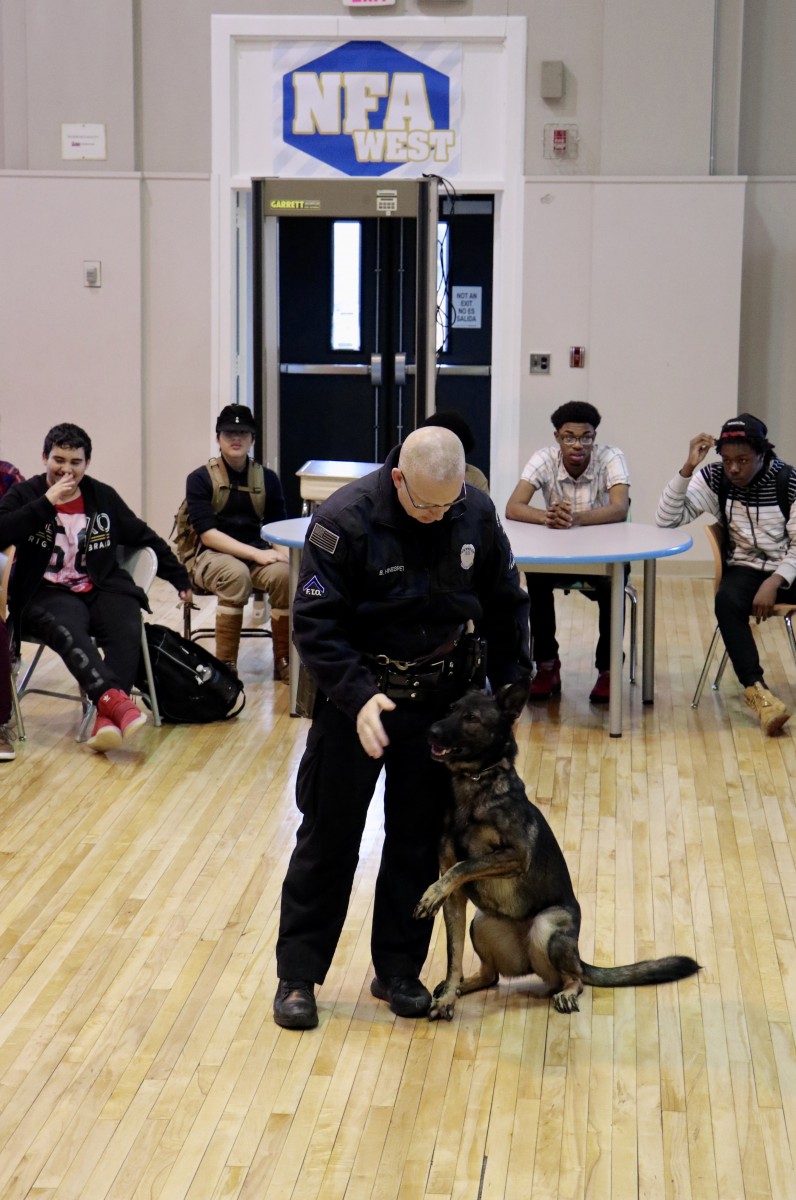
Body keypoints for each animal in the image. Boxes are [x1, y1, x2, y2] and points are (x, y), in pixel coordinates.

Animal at [413, 681, 701, 1017]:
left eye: (471, 717)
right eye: (451, 709)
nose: (430, 731)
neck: (476, 781)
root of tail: (578, 957)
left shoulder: (515, 856)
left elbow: (465, 866)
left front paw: (431, 894)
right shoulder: (456, 900)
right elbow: (453, 955)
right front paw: (447, 996)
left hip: (546, 927)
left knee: (572, 979)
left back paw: (567, 992)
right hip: (480, 923)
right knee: (491, 975)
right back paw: (460, 987)